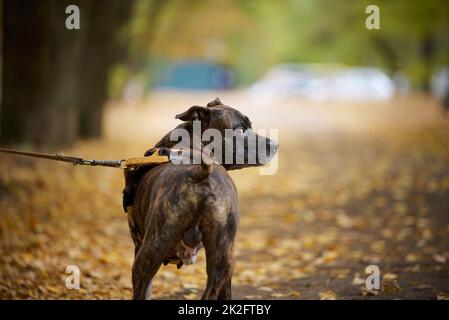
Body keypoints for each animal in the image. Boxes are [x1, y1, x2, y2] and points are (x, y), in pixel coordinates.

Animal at [126, 98, 278, 300]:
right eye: (239, 130)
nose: (275, 144)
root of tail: (200, 173)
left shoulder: (139, 247)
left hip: (150, 251)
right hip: (224, 258)